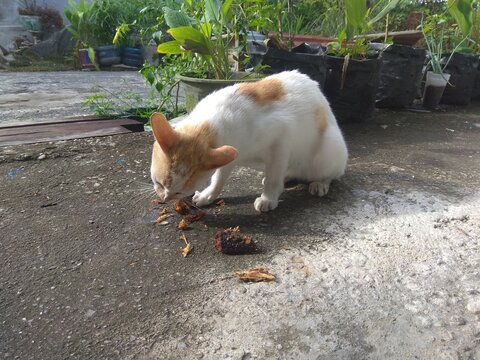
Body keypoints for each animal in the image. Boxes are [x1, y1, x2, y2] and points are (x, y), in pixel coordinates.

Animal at [148, 69, 346, 212]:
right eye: (159, 183)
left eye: (180, 191)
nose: (165, 198)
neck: (208, 125)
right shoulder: (227, 154)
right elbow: (218, 178)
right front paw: (208, 195)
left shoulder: (282, 135)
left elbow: (274, 176)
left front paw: (268, 198)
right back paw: (288, 176)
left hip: (330, 146)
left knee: (331, 173)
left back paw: (320, 184)